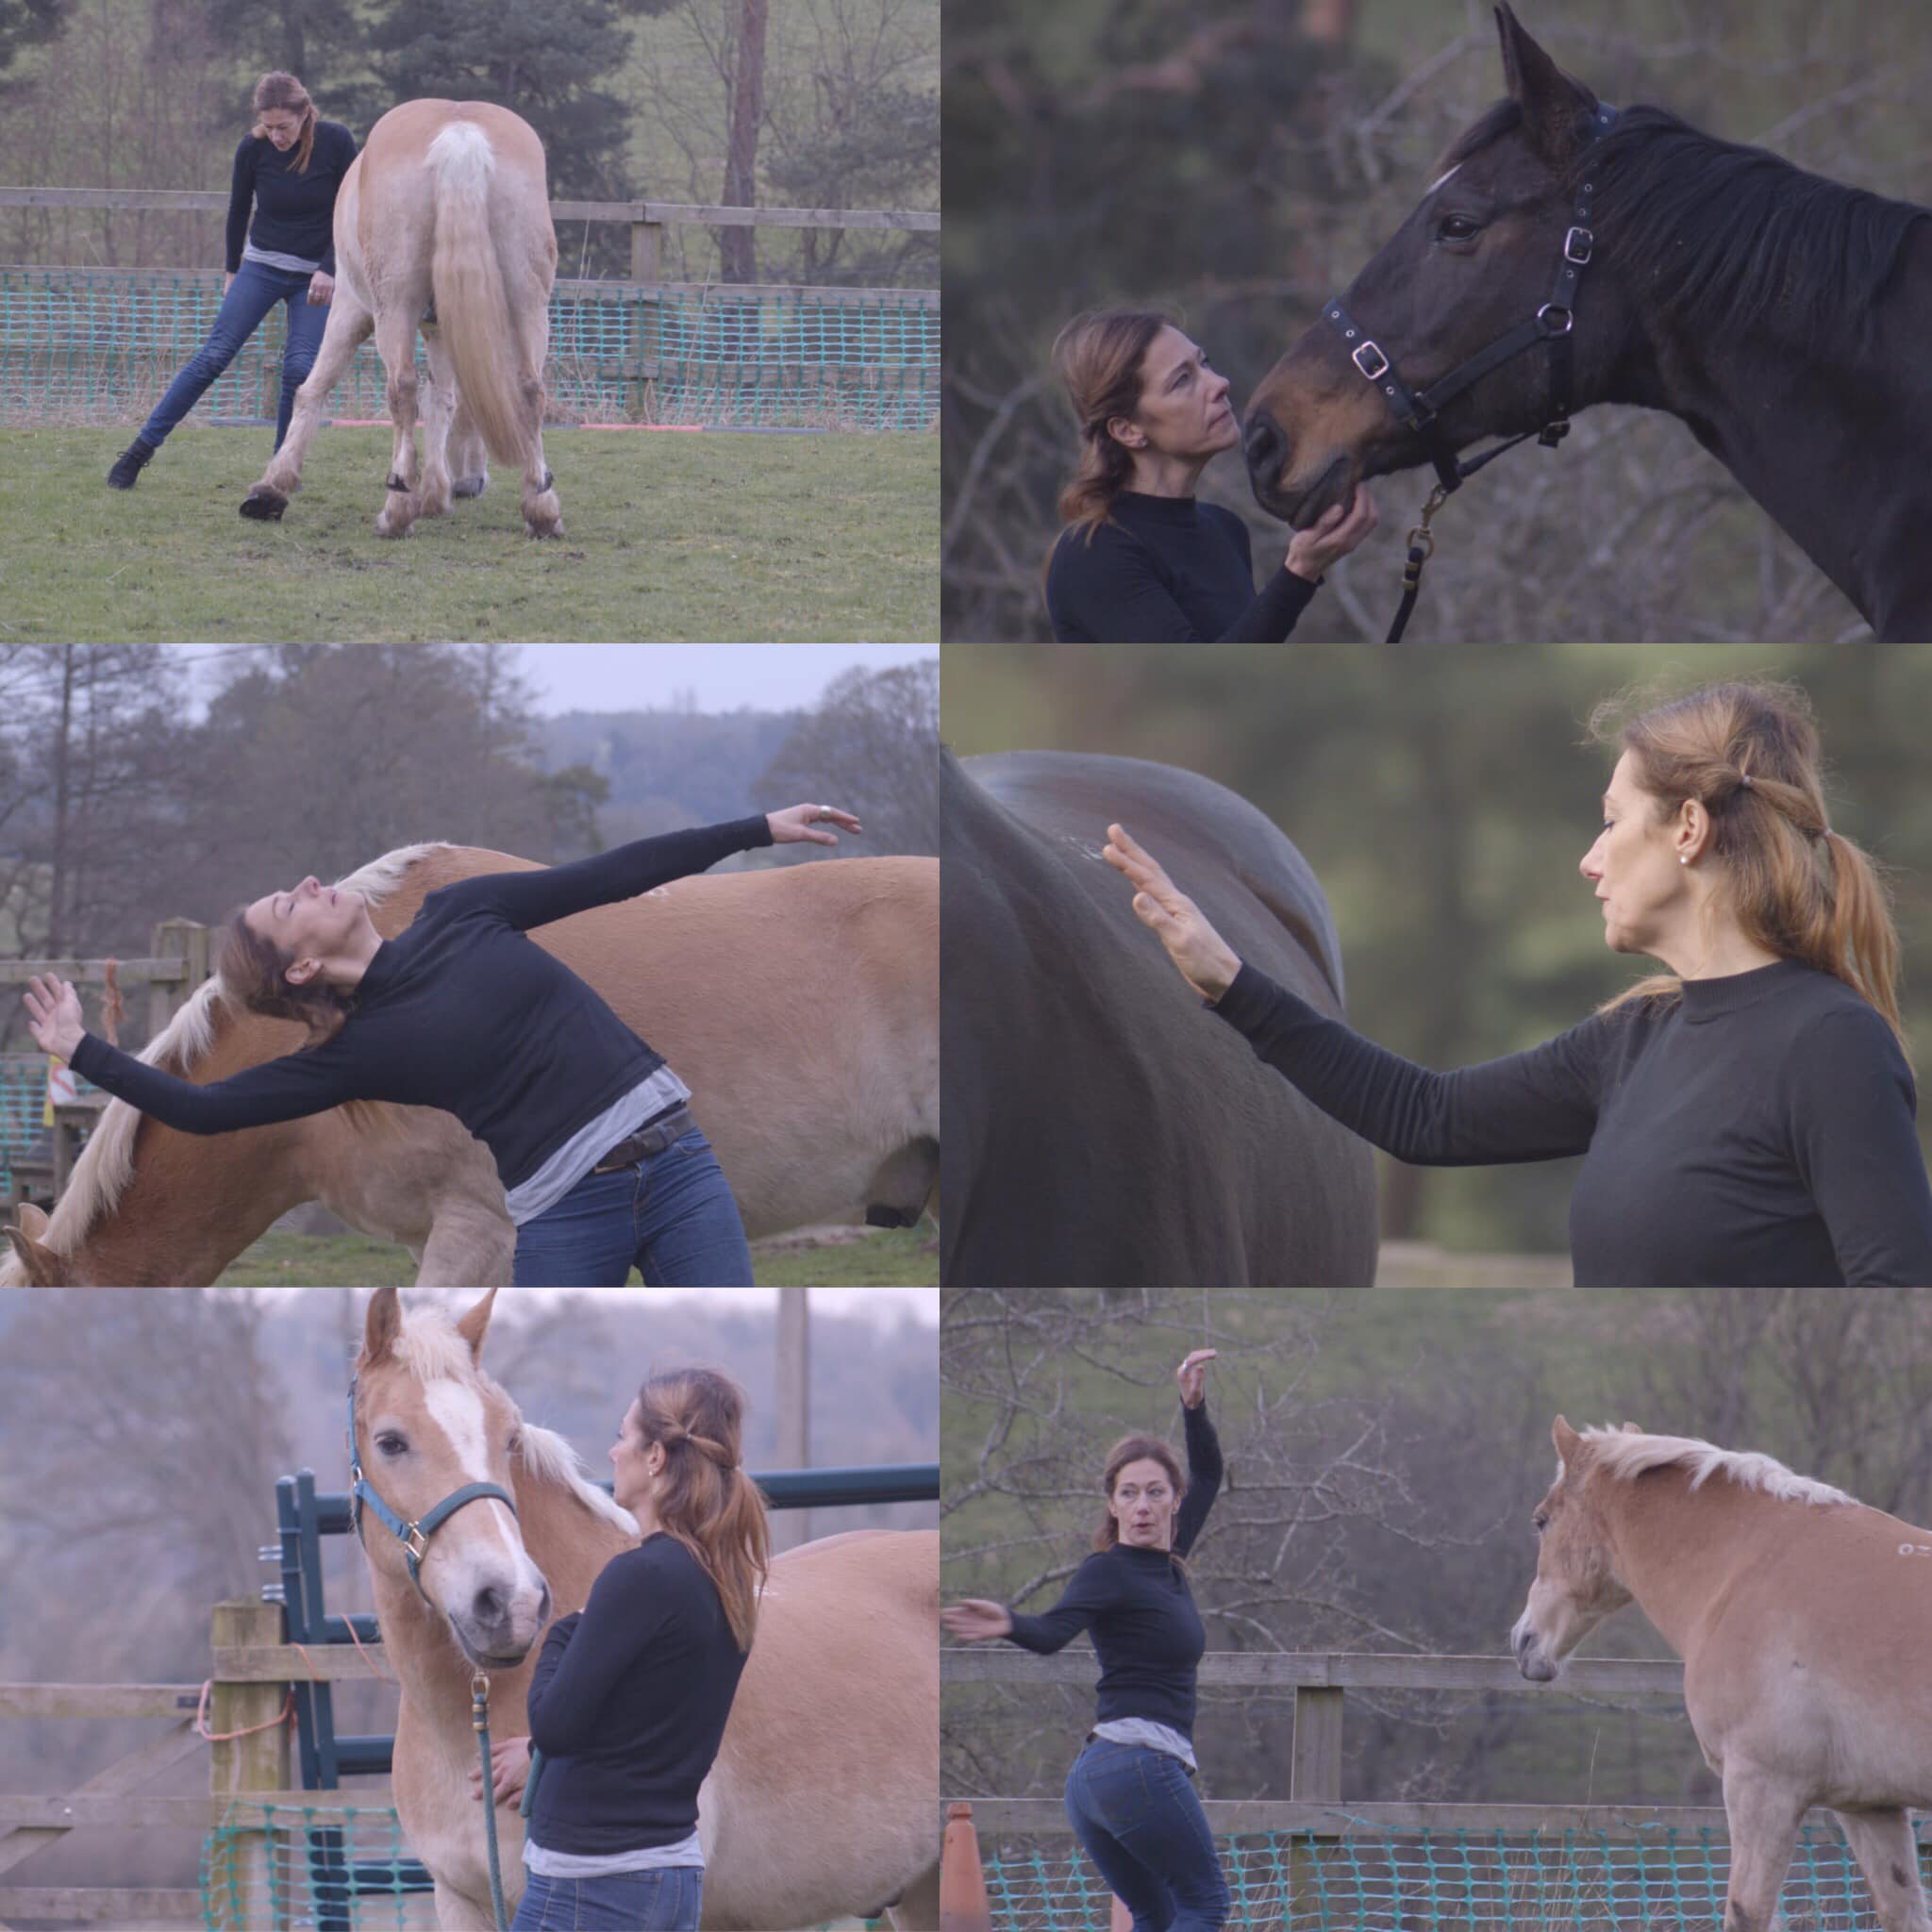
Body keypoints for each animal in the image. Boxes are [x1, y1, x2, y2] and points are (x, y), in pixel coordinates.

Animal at [239, 99, 564, 539]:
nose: (472, 485)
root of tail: (460, 135)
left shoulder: (349, 309)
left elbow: (314, 388)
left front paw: (272, 486)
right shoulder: (442, 330)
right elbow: (442, 400)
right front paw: (435, 494)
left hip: (394, 308)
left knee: (402, 390)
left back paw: (396, 507)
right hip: (527, 304)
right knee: (530, 390)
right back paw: (541, 507)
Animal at [349, 1287, 940, 1930]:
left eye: (508, 1438)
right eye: (390, 1442)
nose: (512, 1603)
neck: (463, 1730)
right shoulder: (458, 1899)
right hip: (916, 1891)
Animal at [1512, 1416, 1932, 1932]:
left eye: (1541, 1521)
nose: (1524, 1640)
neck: (1747, 1568)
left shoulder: (1761, 1789)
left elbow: (1746, 1913)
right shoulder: (1868, 1807)